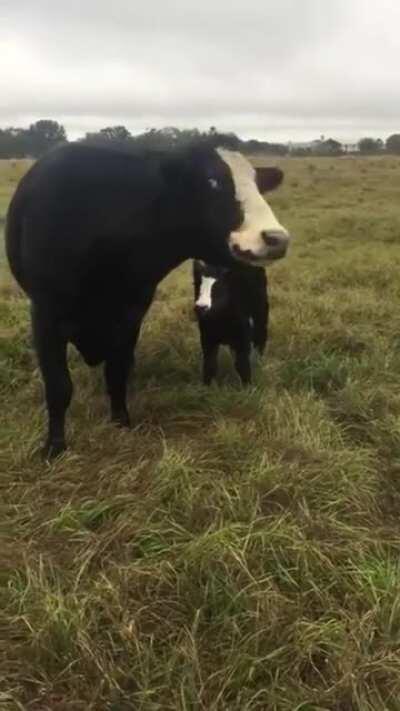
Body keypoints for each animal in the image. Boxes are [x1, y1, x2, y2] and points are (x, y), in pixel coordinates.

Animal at [5, 140, 290, 458]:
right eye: (212, 181)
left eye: (257, 184)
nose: (276, 238)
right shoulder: (46, 315)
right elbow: (58, 386)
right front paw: (55, 446)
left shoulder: (131, 315)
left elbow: (117, 372)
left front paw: (121, 422)